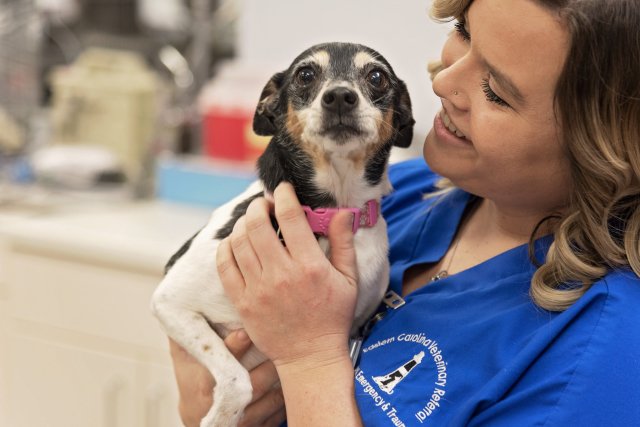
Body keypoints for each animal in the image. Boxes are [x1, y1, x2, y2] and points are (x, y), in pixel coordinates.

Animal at [153, 42, 418, 427]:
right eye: (305, 75)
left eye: (376, 77)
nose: (340, 97)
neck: (327, 214)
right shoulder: (170, 300)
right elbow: (238, 380)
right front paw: (220, 418)